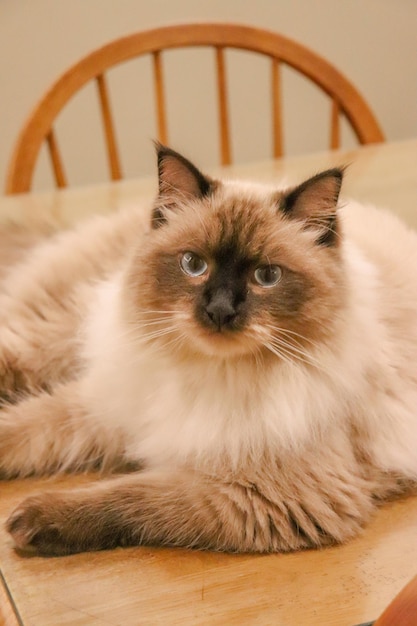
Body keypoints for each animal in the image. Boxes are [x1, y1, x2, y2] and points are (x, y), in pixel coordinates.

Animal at [0, 144, 416, 552]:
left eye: (267, 276)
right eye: (193, 264)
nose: (220, 311)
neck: (208, 371)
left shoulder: (262, 493)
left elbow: (131, 497)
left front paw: (33, 519)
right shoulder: (109, 406)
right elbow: (24, 426)